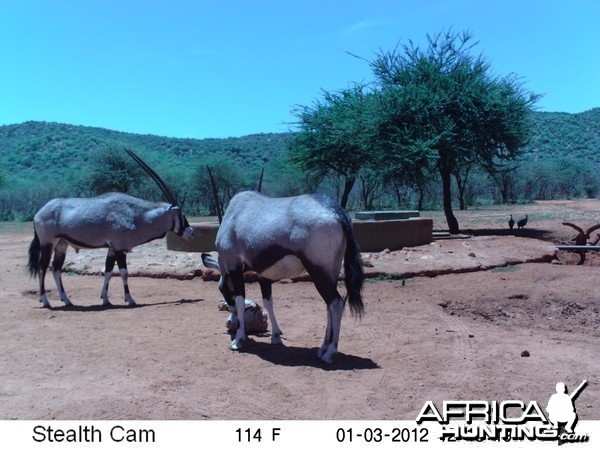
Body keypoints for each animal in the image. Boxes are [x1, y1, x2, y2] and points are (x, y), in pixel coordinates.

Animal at [27, 149, 192, 308]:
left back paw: (67, 300)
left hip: (62, 244)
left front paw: (105, 299)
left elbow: (108, 271)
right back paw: (45, 301)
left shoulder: (112, 248)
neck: (134, 214)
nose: (190, 232)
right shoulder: (120, 248)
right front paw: (129, 299)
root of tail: (38, 213)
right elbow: (124, 272)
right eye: (180, 214)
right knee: (43, 267)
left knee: (56, 268)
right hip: (47, 243)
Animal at [200, 192, 366, 364]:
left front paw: (237, 341)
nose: (230, 322)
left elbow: (240, 301)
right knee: (330, 305)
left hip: (318, 272)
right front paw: (276, 336)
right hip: (331, 272)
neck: (234, 214)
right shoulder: (263, 274)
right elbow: (268, 301)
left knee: (336, 303)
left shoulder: (234, 266)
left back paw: (329, 353)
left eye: (222, 290)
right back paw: (323, 348)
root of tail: (336, 212)